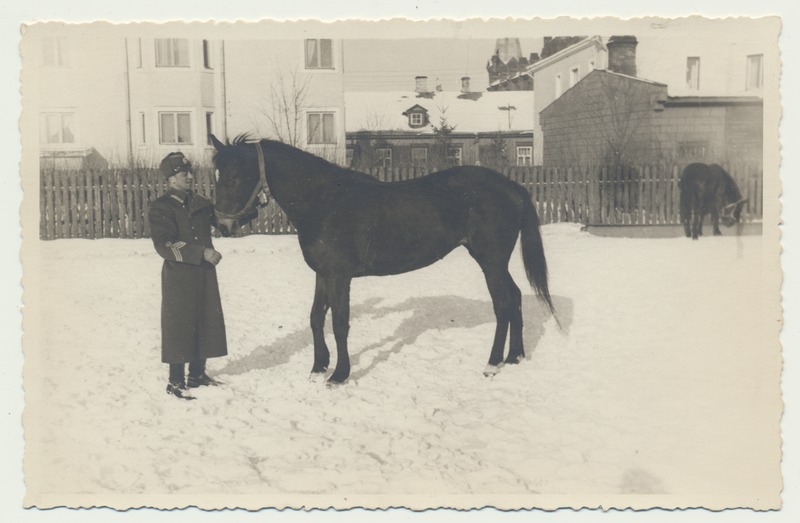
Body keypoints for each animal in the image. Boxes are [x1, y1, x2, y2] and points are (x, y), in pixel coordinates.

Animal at [209, 136, 552, 384]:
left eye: (235, 175)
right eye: (216, 175)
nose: (222, 226)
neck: (325, 200)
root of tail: (513, 187)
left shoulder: (340, 276)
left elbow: (340, 322)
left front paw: (339, 375)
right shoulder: (323, 273)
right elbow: (316, 318)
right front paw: (318, 367)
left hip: (490, 260)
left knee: (503, 304)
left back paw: (492, 363)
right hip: (496, 262)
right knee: (516, 297)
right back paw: (515, 356)